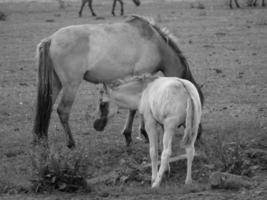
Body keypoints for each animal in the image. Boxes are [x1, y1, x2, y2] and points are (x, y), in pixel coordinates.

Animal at [33, 15, 205, 148]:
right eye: (197, 106)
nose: (198, 135)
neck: (155, 43)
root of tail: (51, 39)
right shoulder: (142, 75)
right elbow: (136, 108)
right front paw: (137, 134)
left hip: (55, 84)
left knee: (47, 108)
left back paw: (42, 140)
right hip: (71, 85)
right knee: (62, 110)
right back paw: (71, 143)